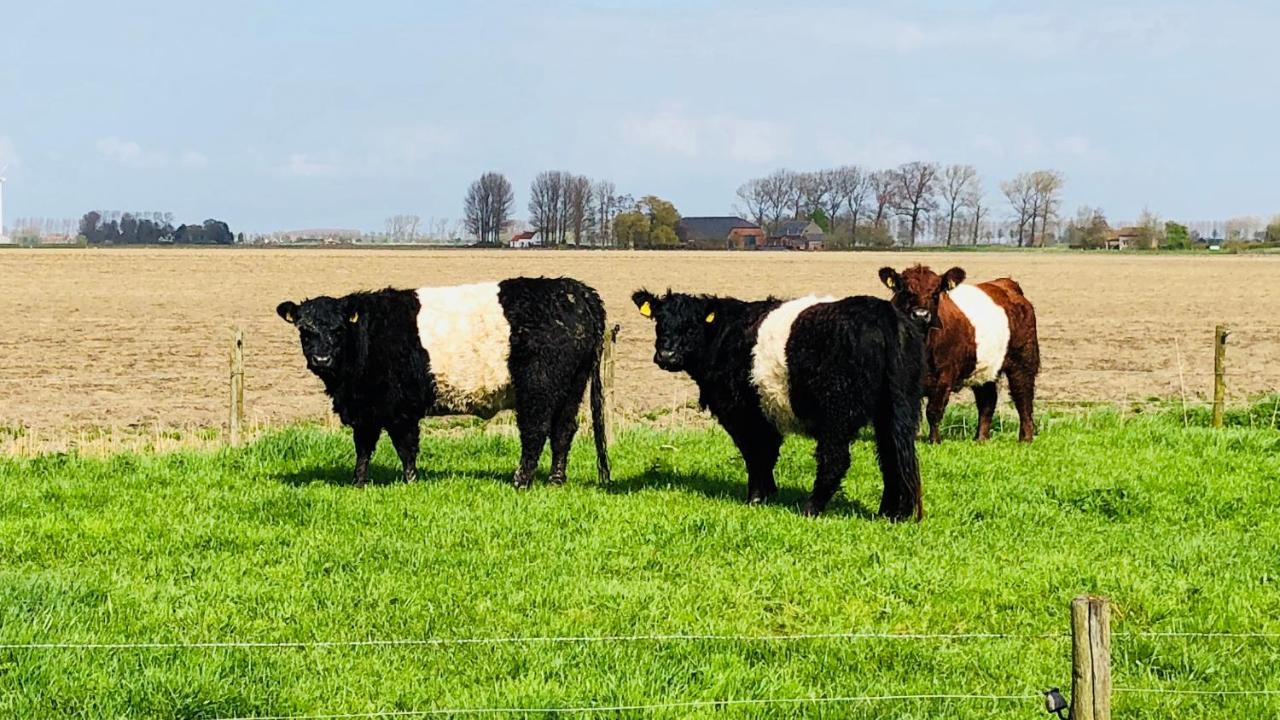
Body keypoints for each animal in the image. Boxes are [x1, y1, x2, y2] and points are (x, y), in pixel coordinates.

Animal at [273, 278, 609, 484]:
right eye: (305, 330)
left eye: (338, 330)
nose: (321, 359)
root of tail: (575, 289)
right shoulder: (367, 409)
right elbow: (364, 447)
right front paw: (359, 482)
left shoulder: (396, 407)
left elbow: (404, 446)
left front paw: (410, 481)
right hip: (571, 386)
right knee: (563, 430)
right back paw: (556, 480)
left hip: (538, 386)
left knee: (535, 431)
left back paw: (521, 481)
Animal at [627, 288, 921, 517]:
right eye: (658, 322)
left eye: (691, 327)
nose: (667, 355)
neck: (722, 336)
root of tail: (880, 311)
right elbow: (765, 455)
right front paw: (768, 494)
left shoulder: (744, 414)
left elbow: (756, 455)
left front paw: (757, 498)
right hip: (896, 409)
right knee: (893, 455)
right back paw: (890, 513)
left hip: (837, 410)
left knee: (836, 459)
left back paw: (811, 508)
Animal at [880, 263, 1039, 443]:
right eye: (905, 290)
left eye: (936, 293)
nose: (921, 315)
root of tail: (1006, 284)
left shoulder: (945, 375)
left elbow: (934, 411)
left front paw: (934, 441)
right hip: (983, 368)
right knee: (987, 401)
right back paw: (980, 439)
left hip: (1023, 361)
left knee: (1023, 398)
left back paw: (1025, 438)